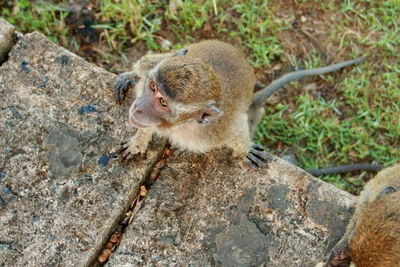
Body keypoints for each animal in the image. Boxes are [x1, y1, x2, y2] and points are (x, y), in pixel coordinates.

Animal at [113, 39, 366, 170]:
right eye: (152, 87)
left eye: (163, 102)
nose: (138, 108)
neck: (178, 126)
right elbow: (145, 64)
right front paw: (139, 141)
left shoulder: (214, 131)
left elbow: (236, 132)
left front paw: (245, 150)